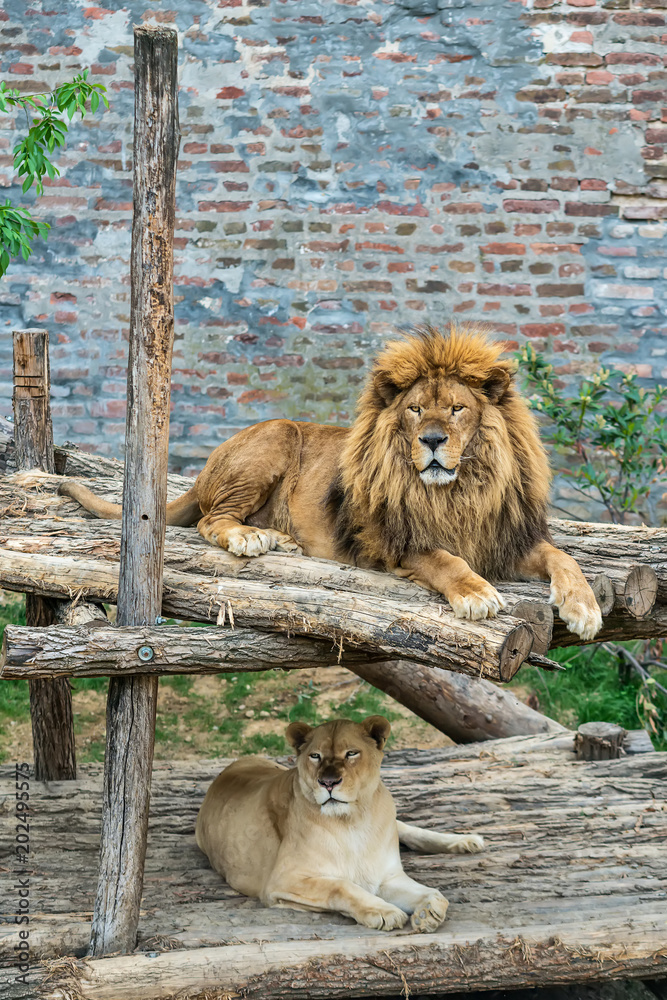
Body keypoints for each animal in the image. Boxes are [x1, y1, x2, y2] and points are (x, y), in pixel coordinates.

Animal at [60, 324, 602, 639]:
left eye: (456, 408)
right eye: (415, 409)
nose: (431, 440)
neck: (457, 492)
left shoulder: (507, 538)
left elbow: (563, 557)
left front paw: (584, 608)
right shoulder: (392, 542)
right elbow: (444, 559)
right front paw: (477, 594)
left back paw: (278, 538)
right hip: (275, 435)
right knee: (211, 520)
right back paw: (251, 538)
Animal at [195, 716, 483, 932]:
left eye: (351, 753)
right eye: (315, 756)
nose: (329, 782)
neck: (352, 822)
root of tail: (233, 765)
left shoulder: (387, 876)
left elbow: (435, 894)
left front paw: (428, 911)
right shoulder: (281, 880)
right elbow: (341, 886)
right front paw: (384, 911)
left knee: (406, 828)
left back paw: (467, 841)